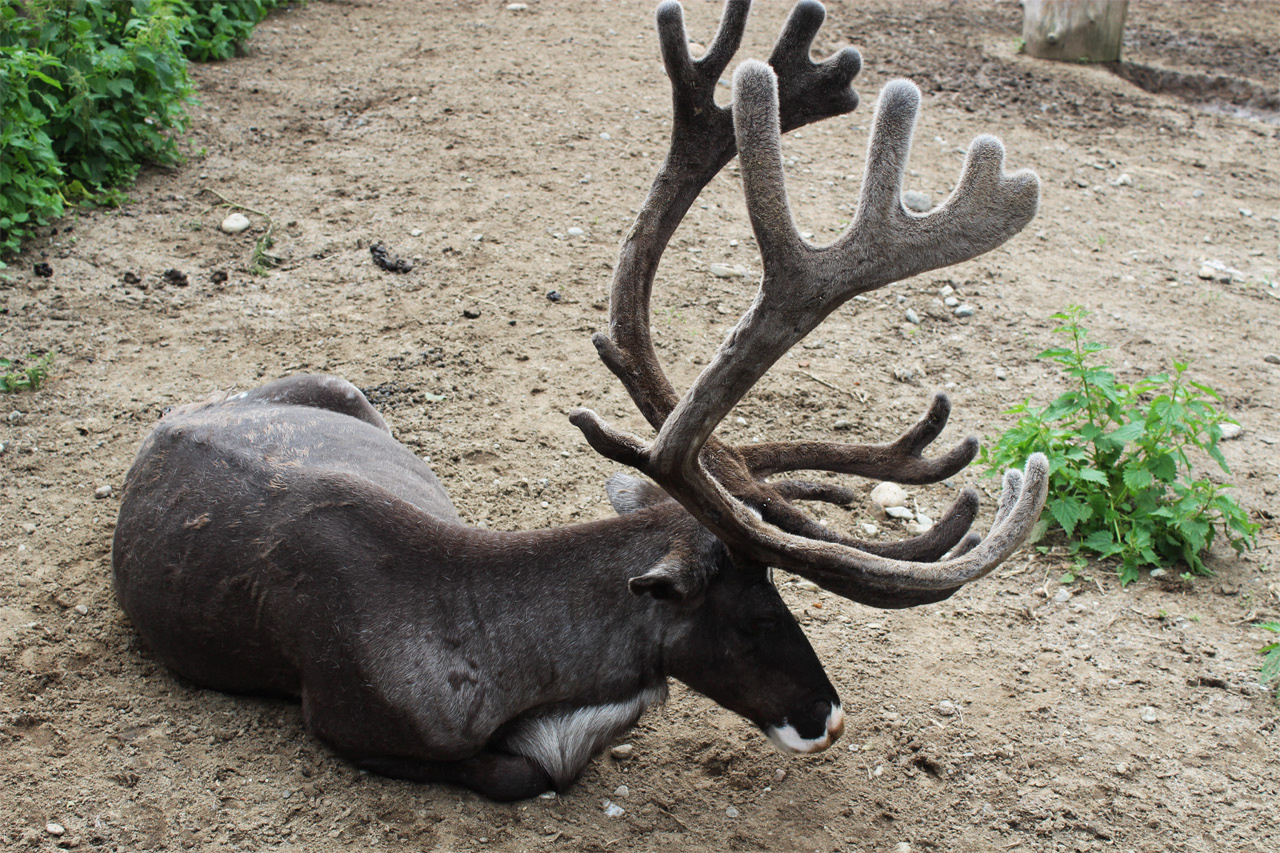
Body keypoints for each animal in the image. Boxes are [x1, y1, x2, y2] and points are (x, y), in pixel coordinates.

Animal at [111, 0, 1047, 802]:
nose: (831, 715)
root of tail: (173, 417)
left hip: (346, 390)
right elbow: (527, 770)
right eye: (747, 618)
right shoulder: (339, 720)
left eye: (778, 592)